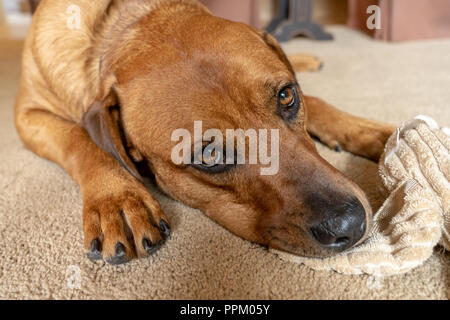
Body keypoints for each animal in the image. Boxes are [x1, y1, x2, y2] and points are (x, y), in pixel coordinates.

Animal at [14, 0, 394, 264]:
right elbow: (79, 140)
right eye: (210, 155)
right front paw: (117, 199)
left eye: (287, 96)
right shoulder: (26, 115)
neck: (124, 22)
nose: (349, 224)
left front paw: (373, 132)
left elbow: (317, 101)